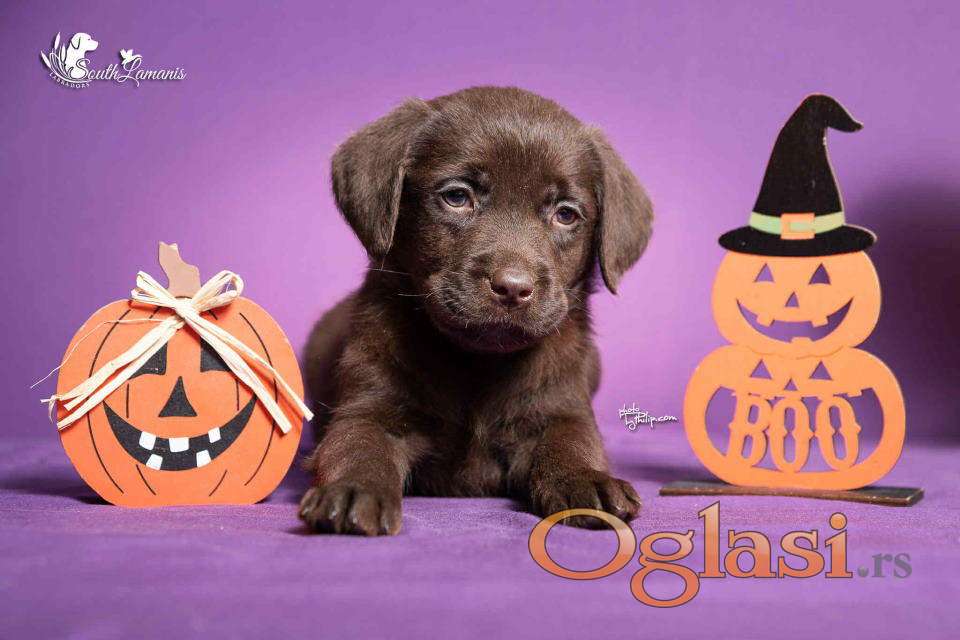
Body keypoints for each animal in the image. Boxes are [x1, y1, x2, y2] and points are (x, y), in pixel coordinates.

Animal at [299, 86, 652, 535]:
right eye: (456, 197)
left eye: (566, 214)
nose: (513, 287)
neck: (476, 363)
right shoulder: (370, 405)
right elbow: (356, 444)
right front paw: (351, 490)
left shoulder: (560, 406)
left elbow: (571, 442)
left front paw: (589, 479)